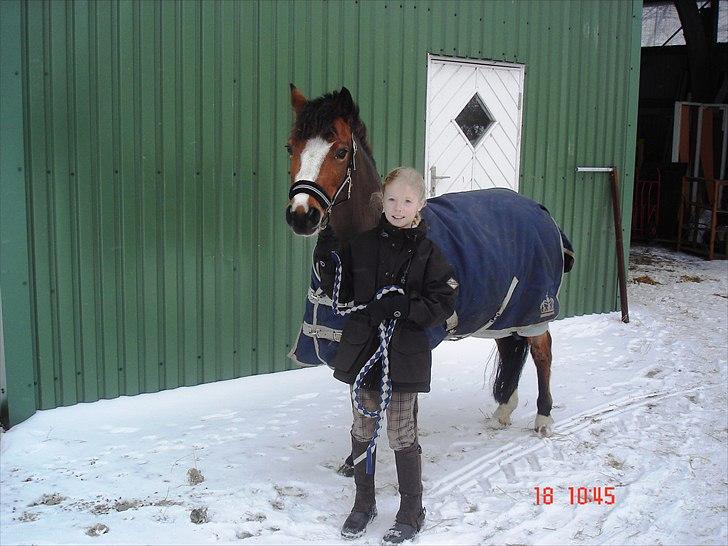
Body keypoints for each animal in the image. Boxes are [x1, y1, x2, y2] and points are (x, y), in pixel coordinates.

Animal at [284, 85, 574, 467]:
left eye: (341, 151)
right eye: (291, 147)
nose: (302, 215)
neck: (385, 238)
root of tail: (540, 211)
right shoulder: (355, 341)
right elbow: (359, 401)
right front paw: (354, 460)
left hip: (535, 309)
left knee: (542, 352)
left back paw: (543, 417)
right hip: (501, 313)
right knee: (510, 346)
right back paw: (503, 411)